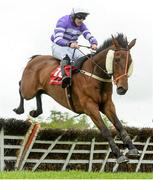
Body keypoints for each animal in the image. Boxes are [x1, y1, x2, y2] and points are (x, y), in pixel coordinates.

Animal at [14, 33, 140, 163]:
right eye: (116, 59)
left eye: (130, 61)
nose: (122, 88)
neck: (94, 76)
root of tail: (35, 58)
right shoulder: (90, 107)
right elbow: (105, 130)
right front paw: (119, 155)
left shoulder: (107, 104)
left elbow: (119, 126)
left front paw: (132, 149)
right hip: (28, 90)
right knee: (20, 86)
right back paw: (19, 109)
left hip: (38, 89)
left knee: (39, 93)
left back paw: (36, 111)